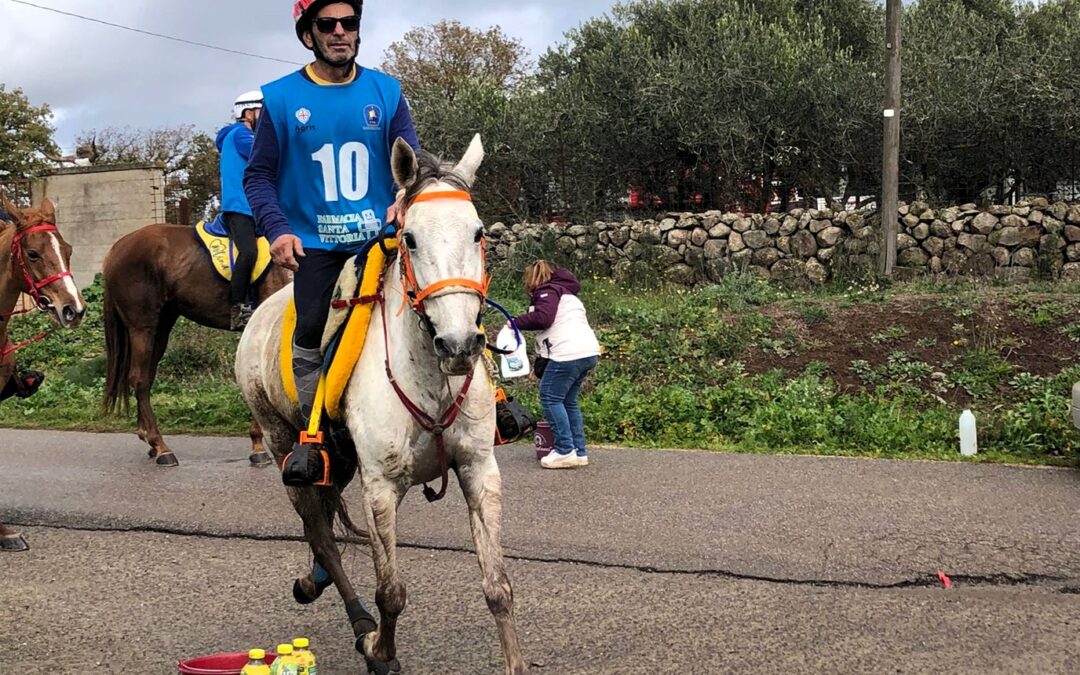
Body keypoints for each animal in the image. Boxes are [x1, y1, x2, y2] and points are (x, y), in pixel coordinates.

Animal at [102, 223, 289, 466]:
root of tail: (116, 249)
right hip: (142, 327)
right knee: (139, 379)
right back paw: (161, 447)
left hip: (161, 326)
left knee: (147, 376)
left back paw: (149, 440)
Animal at [236, 134, 527, 669]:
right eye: (409, 238)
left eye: (478, 233)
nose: (459, 345)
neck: (429, 378)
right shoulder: (381, 488)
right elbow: (390, 591)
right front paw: (378, 648)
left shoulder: (478, 469)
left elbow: (498, 587)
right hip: (282, 444)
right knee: (322, 537)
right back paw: (352, 616)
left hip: (340, 460)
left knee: (326, 522)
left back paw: (314, 580)